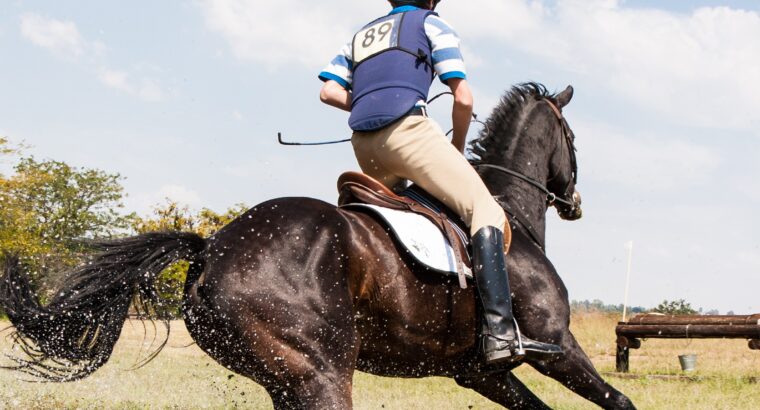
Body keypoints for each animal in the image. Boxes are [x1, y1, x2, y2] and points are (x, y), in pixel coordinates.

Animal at [1, 81, 636, 408]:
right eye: (573, 140)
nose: (575, 202)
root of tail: (211, 248)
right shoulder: (556, 347)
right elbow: (619, 402)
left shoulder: (479, 373)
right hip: (321, 371)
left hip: (288, 378)